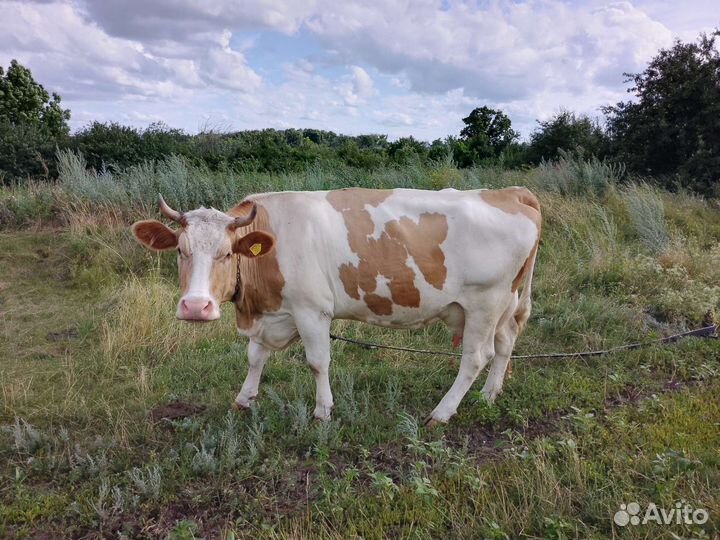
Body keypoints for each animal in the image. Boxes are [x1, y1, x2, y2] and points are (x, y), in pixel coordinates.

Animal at [131, 187, 541, 425]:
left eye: (227, 253)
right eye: (180, 251)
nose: (195, 307)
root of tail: (510, 192)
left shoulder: (312, 310)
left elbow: (317, 362)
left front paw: (323, 411)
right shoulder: (272, 313)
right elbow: (255, 357)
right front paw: (244, 399)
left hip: (485, 301)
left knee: (476, 357)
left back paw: (442, 413)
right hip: (505, 302)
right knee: (505, 342)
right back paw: (489, 395)